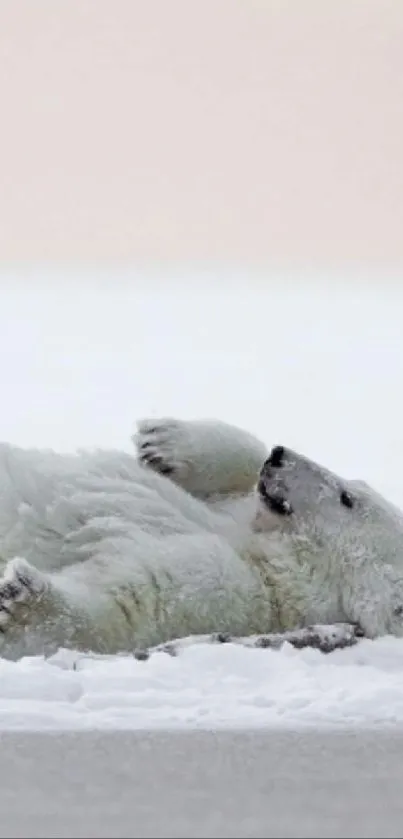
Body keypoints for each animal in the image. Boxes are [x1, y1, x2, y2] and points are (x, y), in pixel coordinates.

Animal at [0, 416, 400, 660]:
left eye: (347, 498)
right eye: (355, 485)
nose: (280, 455)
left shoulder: (237, 593)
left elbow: (132, 602)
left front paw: (21, 597)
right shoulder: (239, 515)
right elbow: (239, 472)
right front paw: (161, 441)